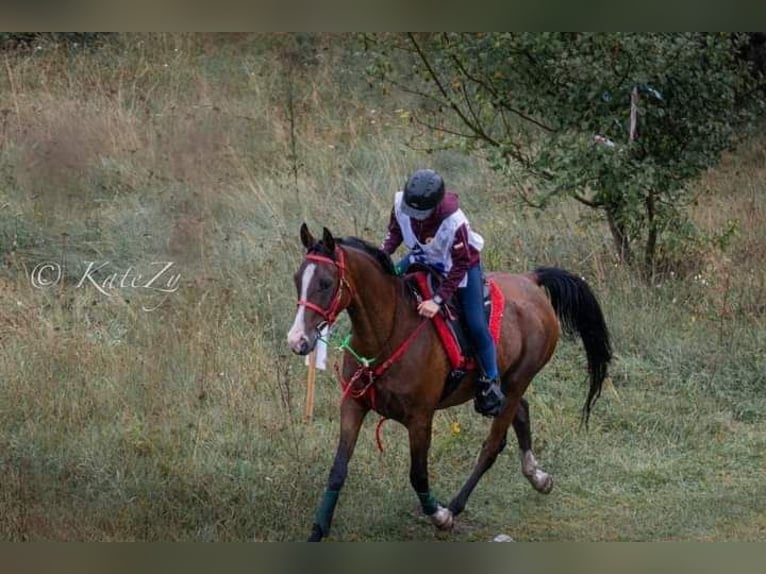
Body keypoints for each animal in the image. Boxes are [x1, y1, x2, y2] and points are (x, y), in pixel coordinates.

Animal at [286, 226, 612, 544]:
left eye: (326, 283)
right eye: (297, 279)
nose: (297, 341)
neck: (388, 331)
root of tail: (530, 280)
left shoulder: (420, 418)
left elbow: (418, 474)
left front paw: (440, 516)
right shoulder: (354, 405)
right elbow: (338, 469)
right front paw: (318, 530)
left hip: (519, 379)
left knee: (492, 445)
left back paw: (456, 505)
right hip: (506, 386)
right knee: (521, 411)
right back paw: (538, 477)